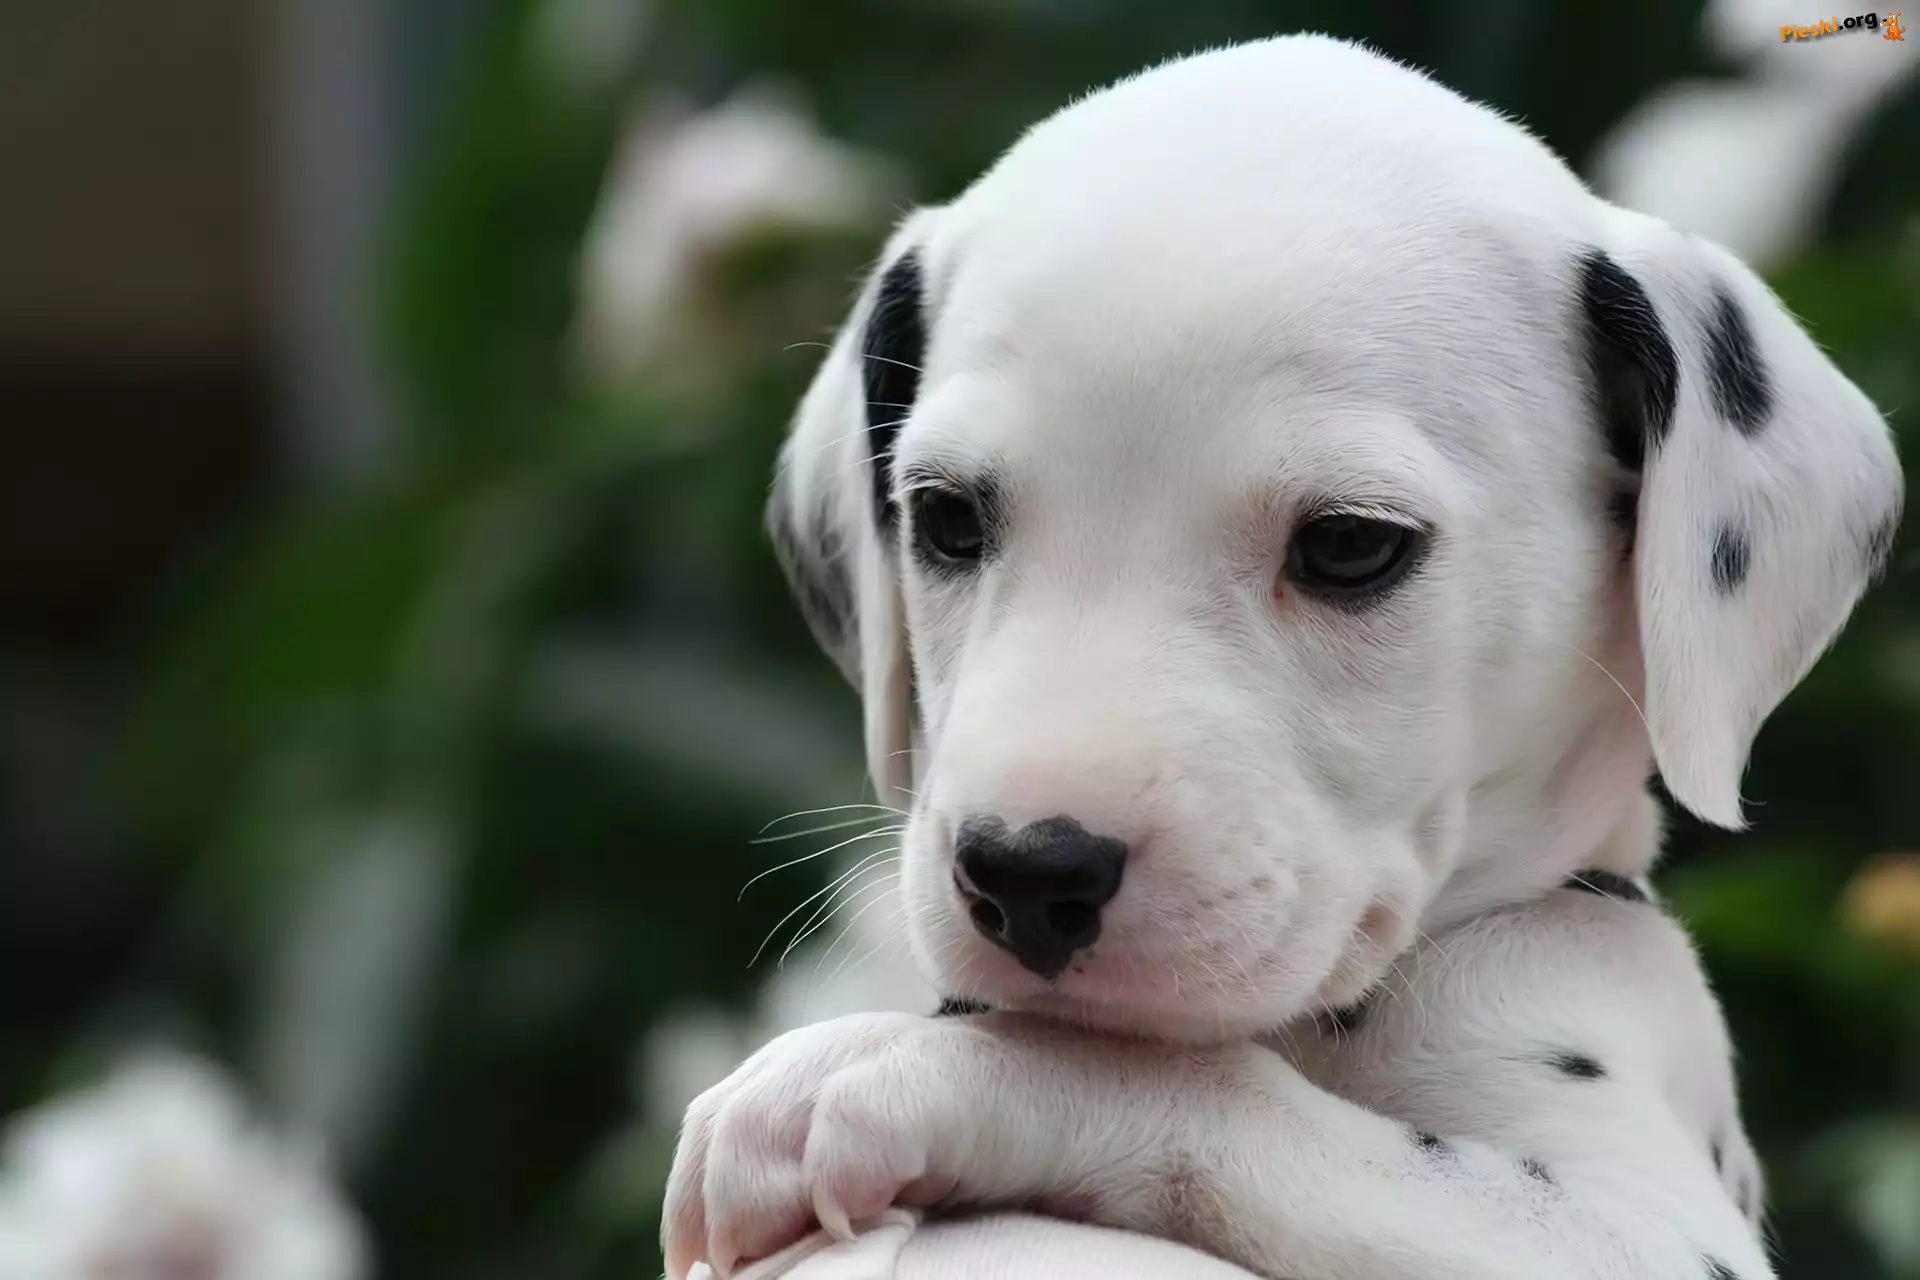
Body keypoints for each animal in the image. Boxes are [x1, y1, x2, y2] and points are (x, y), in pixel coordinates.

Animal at [663, 33, 1903, 1280]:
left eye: (1351, 544)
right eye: (946, 519)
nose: (1024, 875)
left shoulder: (1636, 1226)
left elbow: (1203, 1080)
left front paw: (883, 1072)